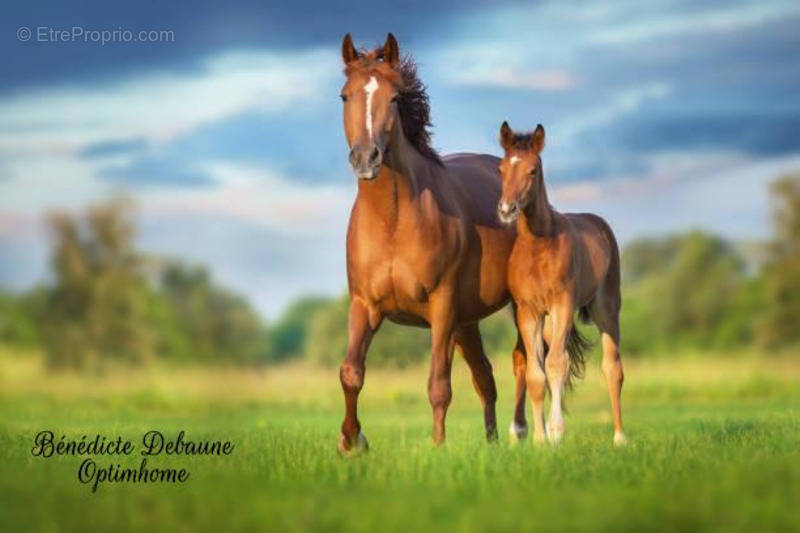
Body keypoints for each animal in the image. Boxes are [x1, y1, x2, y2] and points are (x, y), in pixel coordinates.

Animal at [338, 33, 532, 450]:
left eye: (395, 97)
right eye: (345, 96)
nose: (366, 158)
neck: (393, 222)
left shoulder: (442, 306)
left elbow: (438, 385)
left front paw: (438, 447)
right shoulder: (364, 305)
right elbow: (351, 373)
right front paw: (352, 442)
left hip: (514, 306)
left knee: (524, 360)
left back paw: (520, 431)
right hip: (467, 322)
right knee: (485, 378)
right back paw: (492, 442)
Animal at [496, 121, 628, 444]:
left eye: (533, 170)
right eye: (501, 168)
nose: (506, 210)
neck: (537, 246)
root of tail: (599, 223)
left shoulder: (562, 304)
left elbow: (555, 365)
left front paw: (555, 433)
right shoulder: (528, 311)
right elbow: (536, 373)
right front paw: (540, 440)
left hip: (605, 309)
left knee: (612, 368)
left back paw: (620, 437)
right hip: (551, 321)